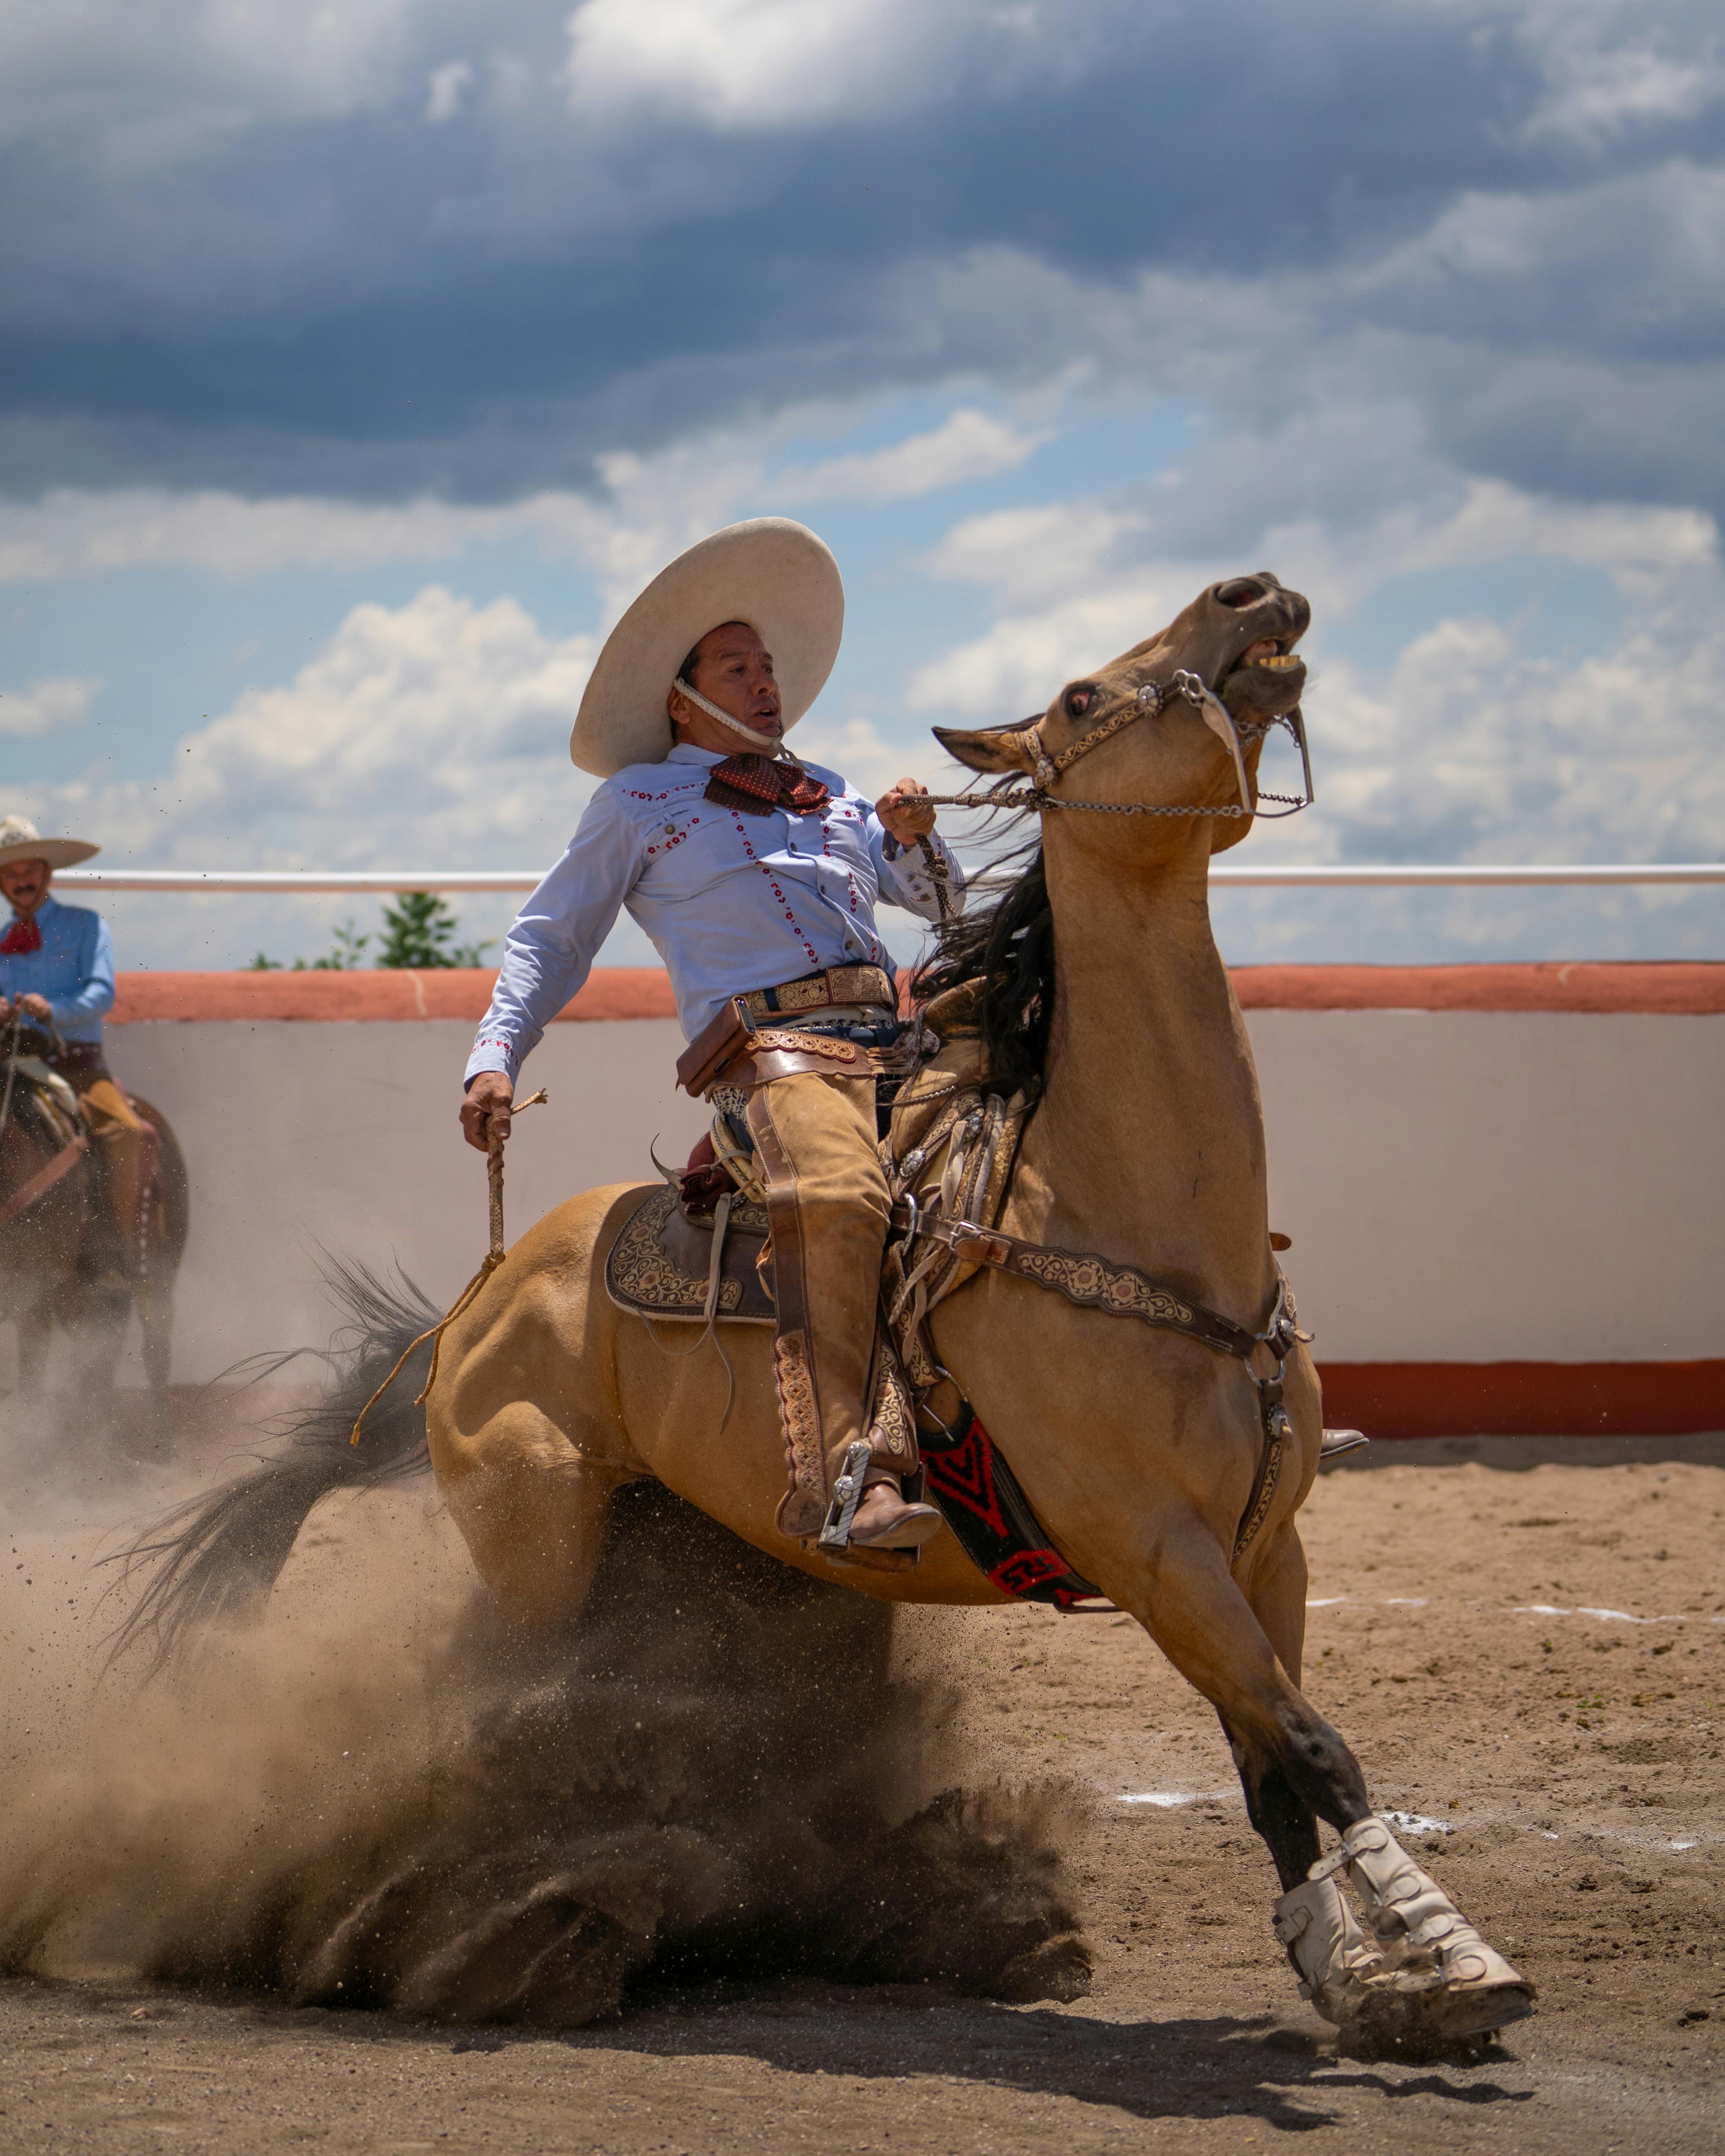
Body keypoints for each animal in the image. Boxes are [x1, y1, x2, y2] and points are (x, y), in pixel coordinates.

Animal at [124, 578, 1535, 2052]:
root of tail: (479, 1297)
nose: (1249, 593)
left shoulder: (1268, 1546)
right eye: (1083, 695)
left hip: (704, 1545)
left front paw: (1367, 1969)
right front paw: (1451, 1959)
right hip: (532, 1545)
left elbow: (1274, 1765)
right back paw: (490, 1934)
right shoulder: (1153, 1548)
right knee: (462, 1714)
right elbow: (1312, 1743)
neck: (1125, 1214)